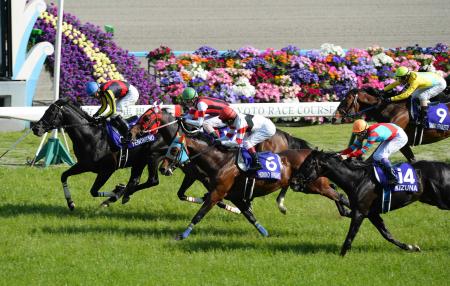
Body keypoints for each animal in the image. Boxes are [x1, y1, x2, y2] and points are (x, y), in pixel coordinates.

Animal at [32, 98, 167, 210]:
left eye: (51, 112)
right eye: (46, 110)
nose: (35, 128)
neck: (91, 136)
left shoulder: (107, 169)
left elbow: (93, 191)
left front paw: (116, 192)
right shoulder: (84, 165)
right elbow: (64, 176)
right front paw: (70, 203)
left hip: (153, 157)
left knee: (152, 181)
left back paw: (118, 195)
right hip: (139, 161)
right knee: (135, 181)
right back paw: (122, 195)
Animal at [296, 151, 450, 256]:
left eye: (307, 164)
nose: (294, 181)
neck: (357, 179)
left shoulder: (360, 212)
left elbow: (351, 235)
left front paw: (341, 255)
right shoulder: (371, 213)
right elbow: (387, 234)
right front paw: (411, 247)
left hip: (442, 199)